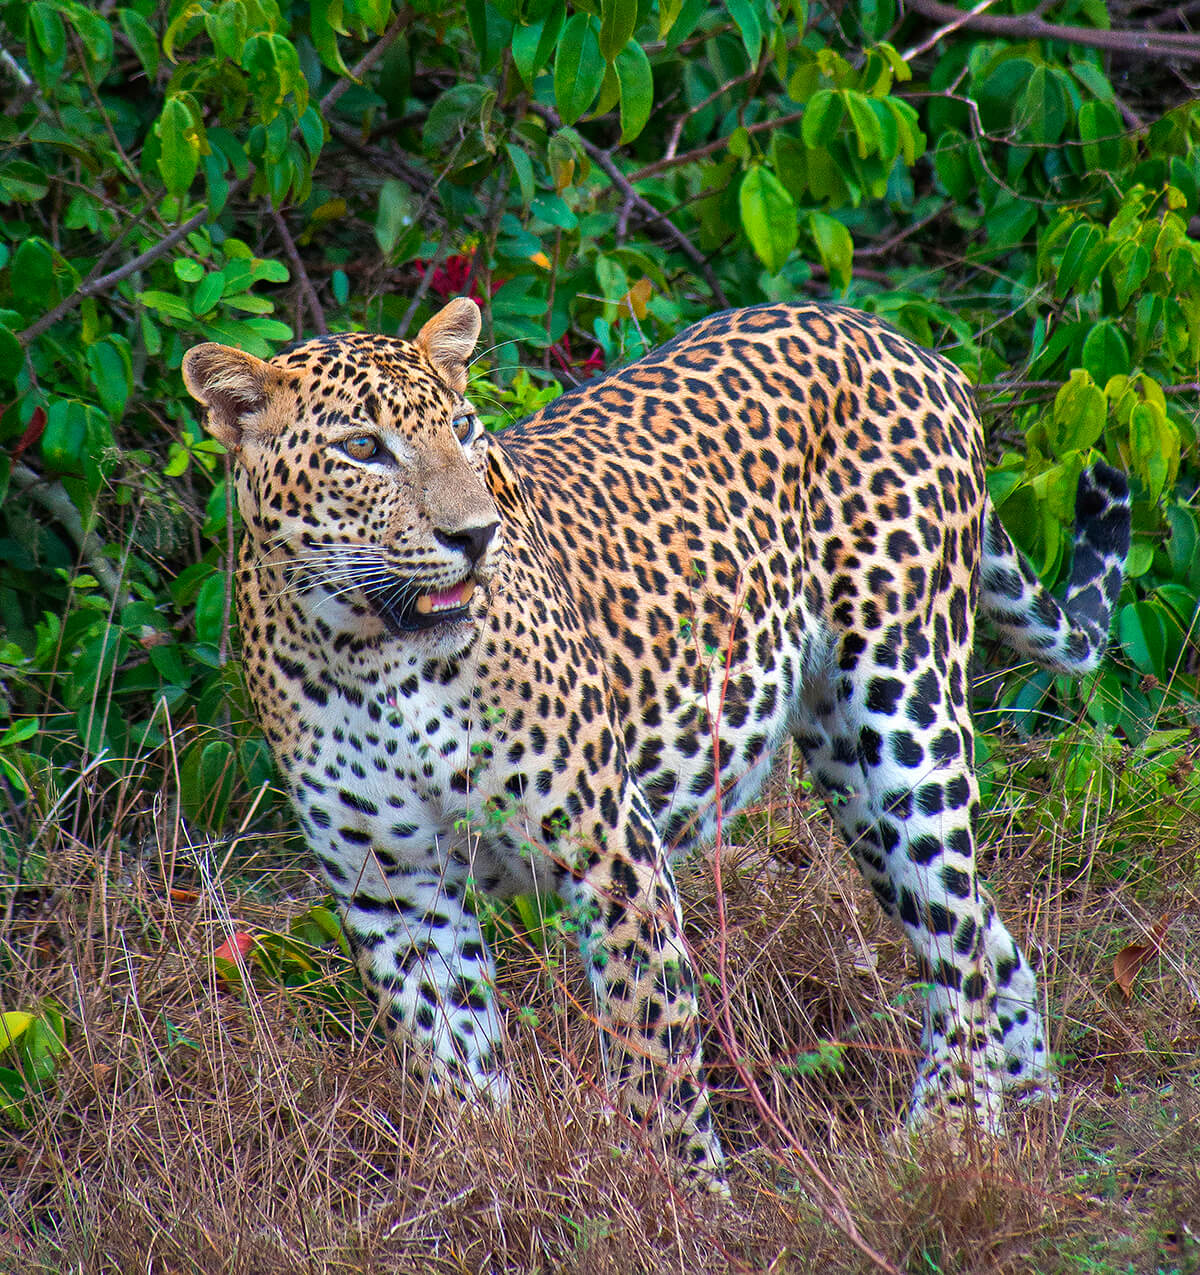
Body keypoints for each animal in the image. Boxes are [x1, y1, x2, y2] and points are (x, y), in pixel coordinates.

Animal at [182, 298, 1127, 1183]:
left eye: (463, 428)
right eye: (363, 449)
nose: (475, 535)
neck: (374, 656)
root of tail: (897, 339)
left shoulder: (612, 852)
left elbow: (652, 1052)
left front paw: (686, 1201)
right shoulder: (394, 889)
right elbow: (455, 1063)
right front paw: (488, 1176)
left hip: (904, 710)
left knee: (959, 942)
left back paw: (948, 1135)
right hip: (850, 776)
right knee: (983, 933)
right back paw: (1023, 1113)